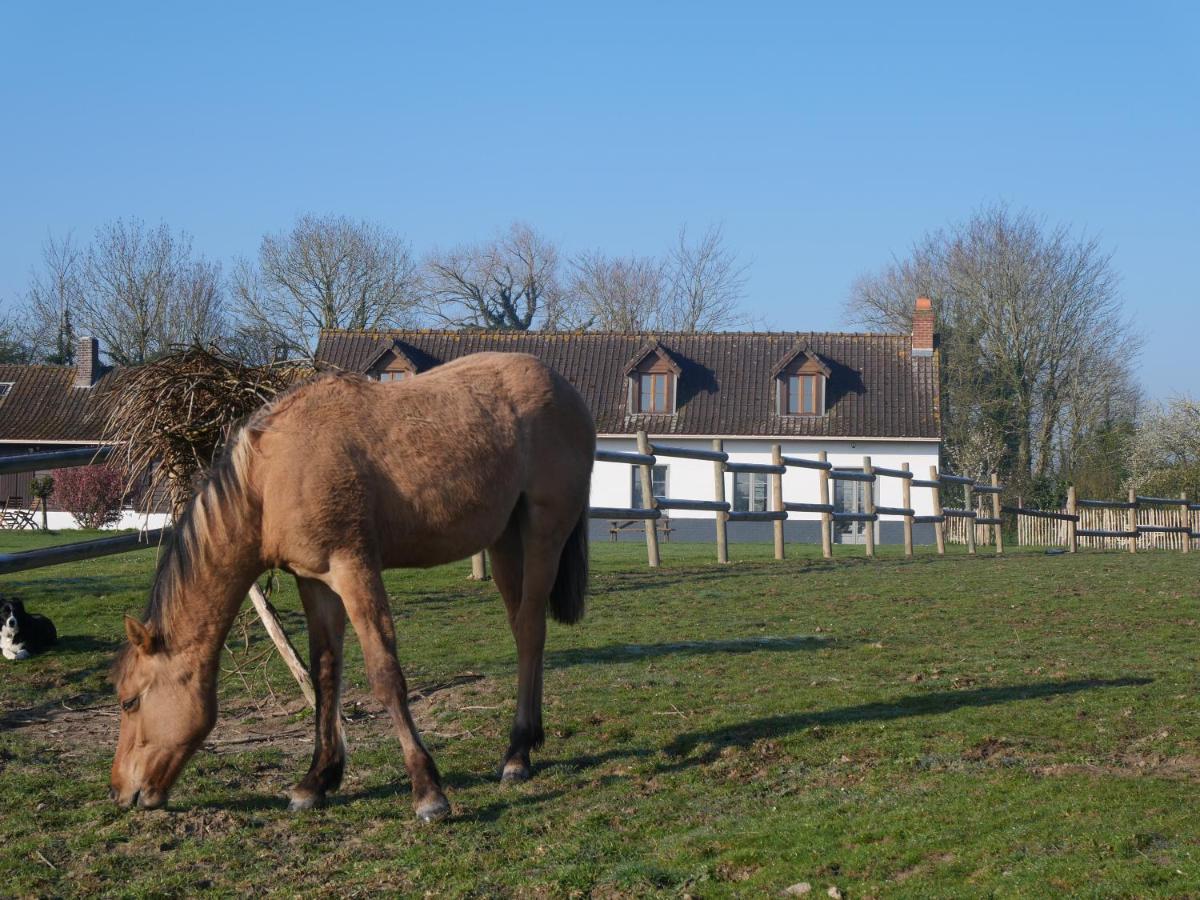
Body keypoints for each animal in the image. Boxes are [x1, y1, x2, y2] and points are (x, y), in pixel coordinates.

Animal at [111, 355, 595, 825]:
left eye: (130, 701)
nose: (121, 792)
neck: (269, 479)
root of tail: (566, 390)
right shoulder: (315, 580)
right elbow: (325, 674)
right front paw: (317, 780)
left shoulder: (354, 569)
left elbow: (385, 674)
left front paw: (428, 793)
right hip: (505, 541)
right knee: (522, 629)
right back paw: (527, 741)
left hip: (543, 532)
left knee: (530, 630)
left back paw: (517, 754)